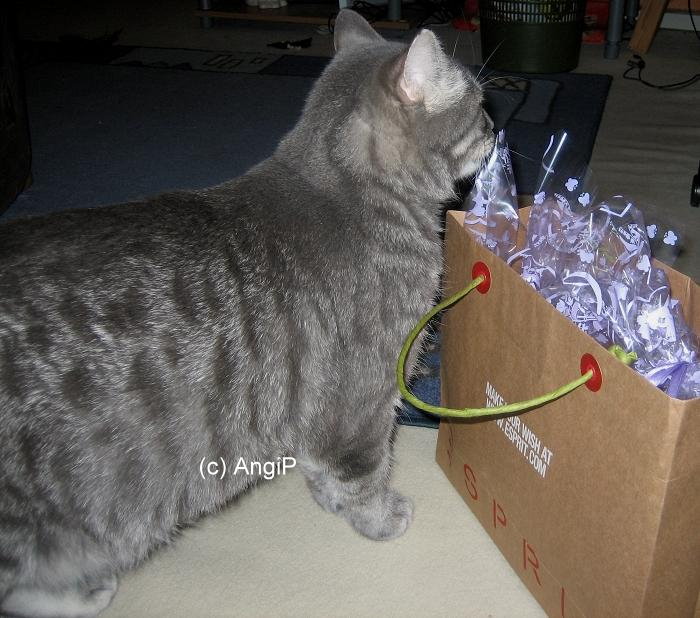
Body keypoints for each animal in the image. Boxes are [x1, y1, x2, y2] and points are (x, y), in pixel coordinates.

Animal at [0, 9, 494, 618]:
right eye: (477, 102)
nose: (495, 125)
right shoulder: (364, 399)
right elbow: (363, 473)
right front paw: (379, 519)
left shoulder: (320, 408)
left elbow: (320, 468)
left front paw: (329, 501)